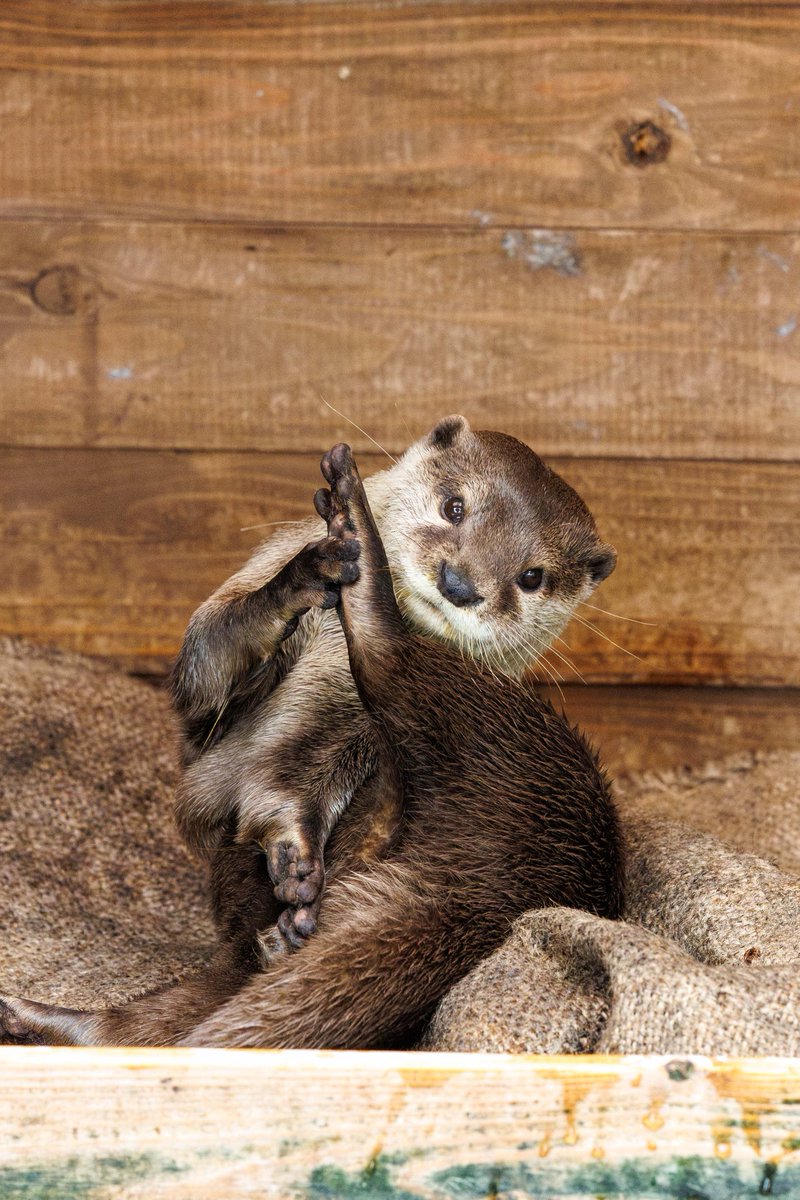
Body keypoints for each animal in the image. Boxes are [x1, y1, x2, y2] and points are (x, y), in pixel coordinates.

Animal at [0, 422, 623, 1048]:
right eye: (455, 507)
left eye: (532, 577)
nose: (460, 583)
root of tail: (492, 887)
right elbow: (202, 674)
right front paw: (303, 578)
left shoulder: (343, 723)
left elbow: (308, 761)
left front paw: (295, 849)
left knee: (388, 659)